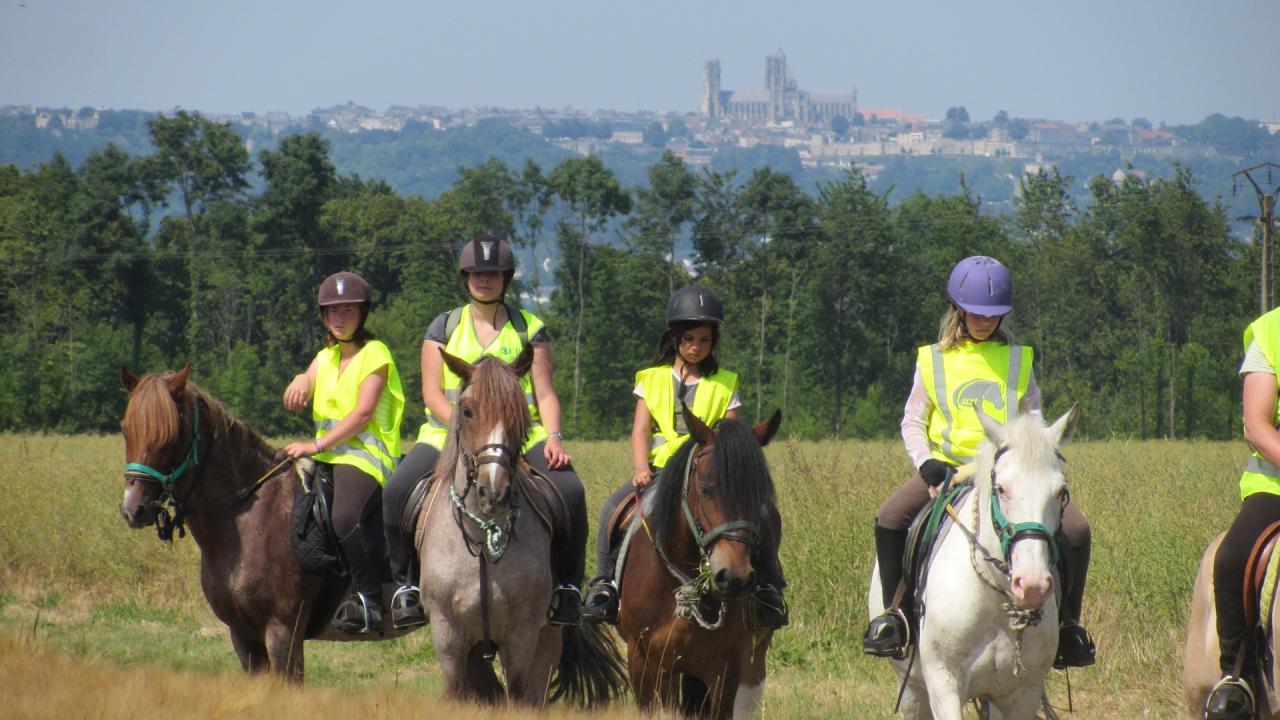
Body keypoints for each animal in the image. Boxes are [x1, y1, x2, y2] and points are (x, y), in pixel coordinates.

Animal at [114, 361, 414, 681]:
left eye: (170, 434)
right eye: (126, 429)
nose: (134, 509)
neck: (249, 515)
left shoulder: (283, 632)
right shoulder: (243, 637)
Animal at [417, 348, 627, 707]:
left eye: (520, 413)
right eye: (468, 411)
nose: (493, 492)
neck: (482, 536)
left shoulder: (522, 635)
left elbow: (517, 695)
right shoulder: (447, 635)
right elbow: (455, 691)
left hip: (547, 639)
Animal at [870, 407, 1080, 712]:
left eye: (1061, 493)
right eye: (1001, 489)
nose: (1032, 584)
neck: (992, 598)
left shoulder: (1022, 693)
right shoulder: (943, 685)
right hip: (911, 690)